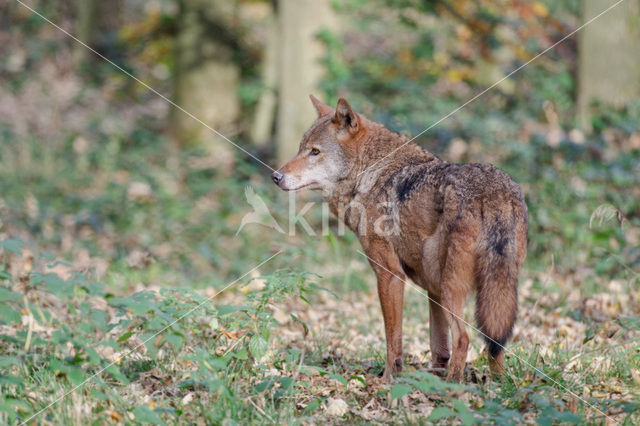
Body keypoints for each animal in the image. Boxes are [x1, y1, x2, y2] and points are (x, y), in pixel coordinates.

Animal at [270, 95, 524, 382]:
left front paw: (389, 380)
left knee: (464, 338)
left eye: (315, 152)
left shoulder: (390, 274)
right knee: (495, 344)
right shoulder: (432, 290)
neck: (371, 173)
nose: (276, 176)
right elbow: (439, 348)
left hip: (453, 289)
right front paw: (430, 380)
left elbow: (393, 339)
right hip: (491, 290)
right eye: (301, 148)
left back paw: (453, 388)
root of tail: (494, 192)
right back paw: (499, 385)